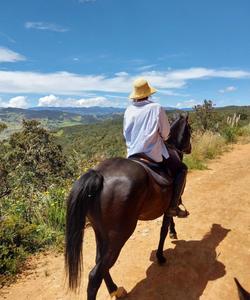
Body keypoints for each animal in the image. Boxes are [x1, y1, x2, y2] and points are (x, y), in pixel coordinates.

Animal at [64, 115, 191, 300]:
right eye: (190, 129)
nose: (189, 148)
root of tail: (99, 175)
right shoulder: (170, 201)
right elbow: (163, 230)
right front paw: (161, 256)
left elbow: (168, 223)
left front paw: (173, 233)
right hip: (119, 234)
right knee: (95, 275)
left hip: (100, 232)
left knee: (99, 262)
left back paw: (115, 289)